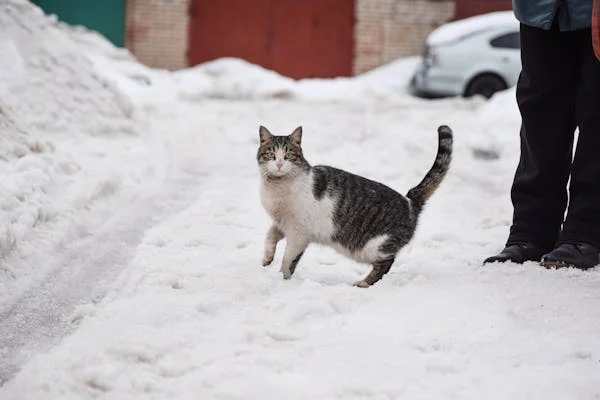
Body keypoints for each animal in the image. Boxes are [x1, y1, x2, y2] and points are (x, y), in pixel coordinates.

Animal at [255, 123, 452, 286]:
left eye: (288, 155)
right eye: (271, 154)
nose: (279, 164)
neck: (277, 186)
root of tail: (410, 202)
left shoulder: (299, 234)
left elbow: (288, 260)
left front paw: (283, 279)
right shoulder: (282, 224)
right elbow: (269, 236)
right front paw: (267, 259)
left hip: (371, 247)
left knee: (386, 264)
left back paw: (363, 283)